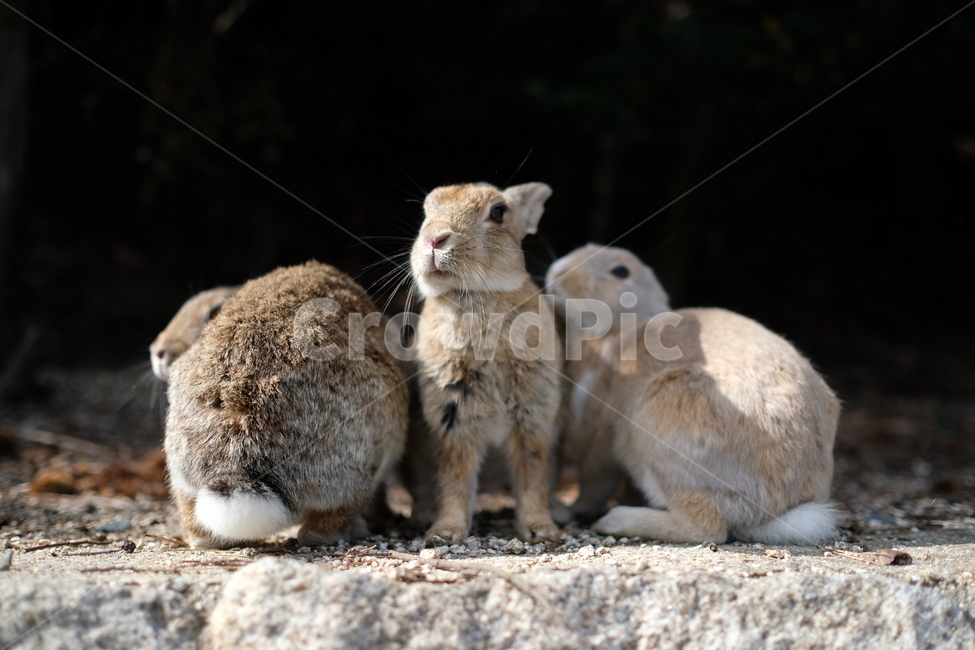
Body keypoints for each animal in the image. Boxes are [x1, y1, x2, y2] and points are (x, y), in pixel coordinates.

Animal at [410, 182, 564, 543]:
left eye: (498, 212)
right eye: (426, 212)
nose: (435, 239)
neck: (476, 297)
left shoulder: (533, 415)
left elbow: (532, 473)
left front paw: (541, 530)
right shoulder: (453, 417)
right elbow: (454, 476)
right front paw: (446, 532)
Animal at [545, 244, 839, 545]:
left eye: (620, 271)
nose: (557, 272)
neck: (618, 328)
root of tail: (775, 509)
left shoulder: (598, 431)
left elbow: (595, 478)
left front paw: (578, 508)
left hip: (665, 438)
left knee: (708, 526)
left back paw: (615, 520)